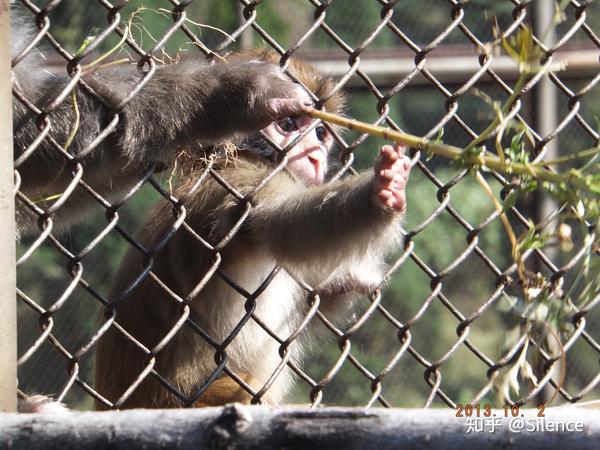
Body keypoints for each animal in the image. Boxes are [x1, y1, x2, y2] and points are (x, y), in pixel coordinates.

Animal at [95, 51, 412, 410]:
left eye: (320, 134)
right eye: (288, 125)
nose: (316, 157)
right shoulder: (244, 184)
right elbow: (287, 224)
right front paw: (378, 194)